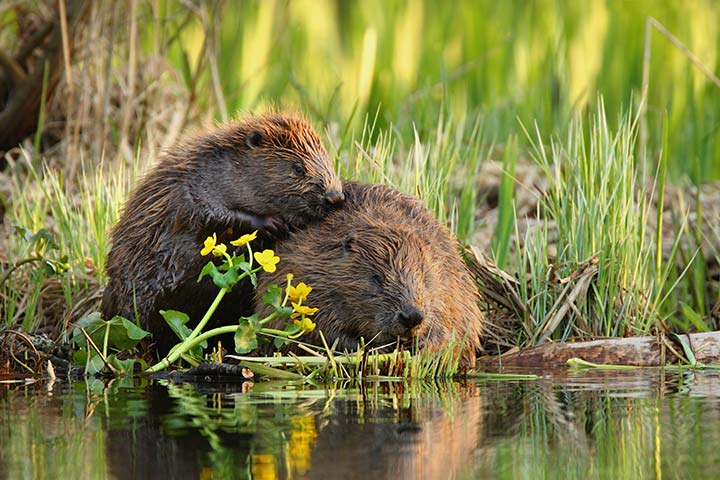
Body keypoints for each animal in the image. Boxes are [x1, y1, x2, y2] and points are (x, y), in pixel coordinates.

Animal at [100, 111, 344, 352]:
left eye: (328, 160)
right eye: (298, 168)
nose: (335, 196)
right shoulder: (195, 183)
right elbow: (210, 212)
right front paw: (273, 223)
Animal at [255, 182, 484, 370]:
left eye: (426, 278)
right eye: (376, 278)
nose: (412, 316)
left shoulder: (450, 280)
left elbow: (455, 325)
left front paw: (423, 345)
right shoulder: (308, 269)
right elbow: (321, 329)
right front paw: (375, 349)